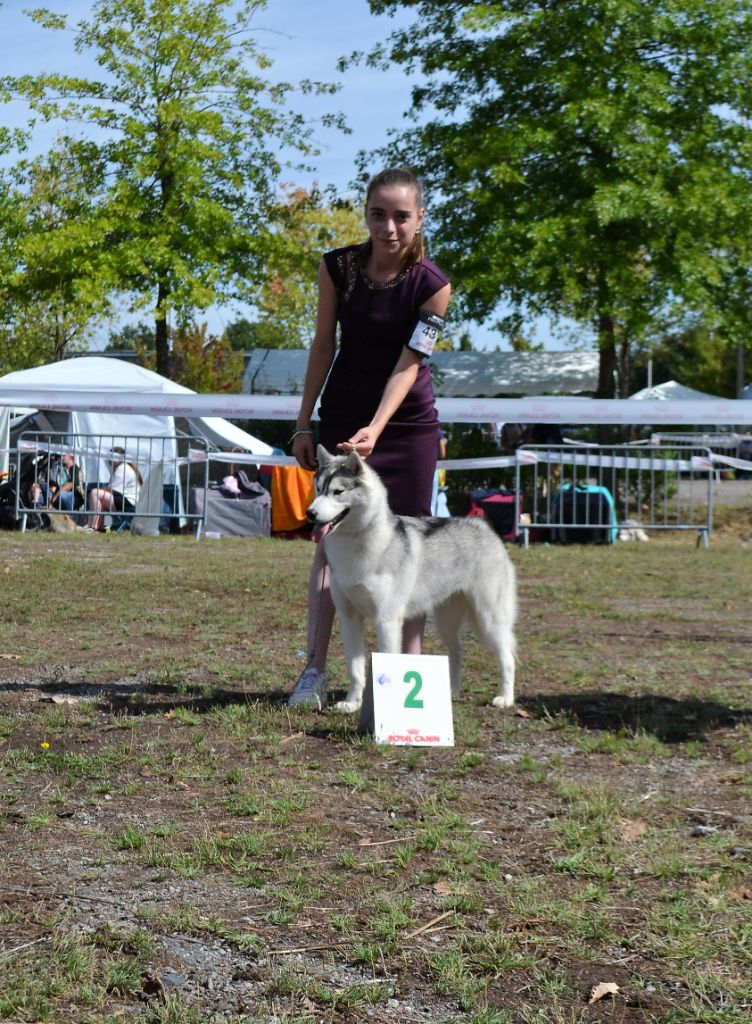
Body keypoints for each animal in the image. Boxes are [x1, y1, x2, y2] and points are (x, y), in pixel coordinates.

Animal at [311, 448, 518, 720]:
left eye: (337, 491)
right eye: (317, 489)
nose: (310, 513)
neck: (355, 547)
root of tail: (483, 526)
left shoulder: (387, 620)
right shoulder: (349, 618)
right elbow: (355, 669)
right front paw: (352, 703)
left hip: (488, 618)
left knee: (507, 656)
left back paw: (505, 697)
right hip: (445, 621)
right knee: (457, 652)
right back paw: (450, 691)